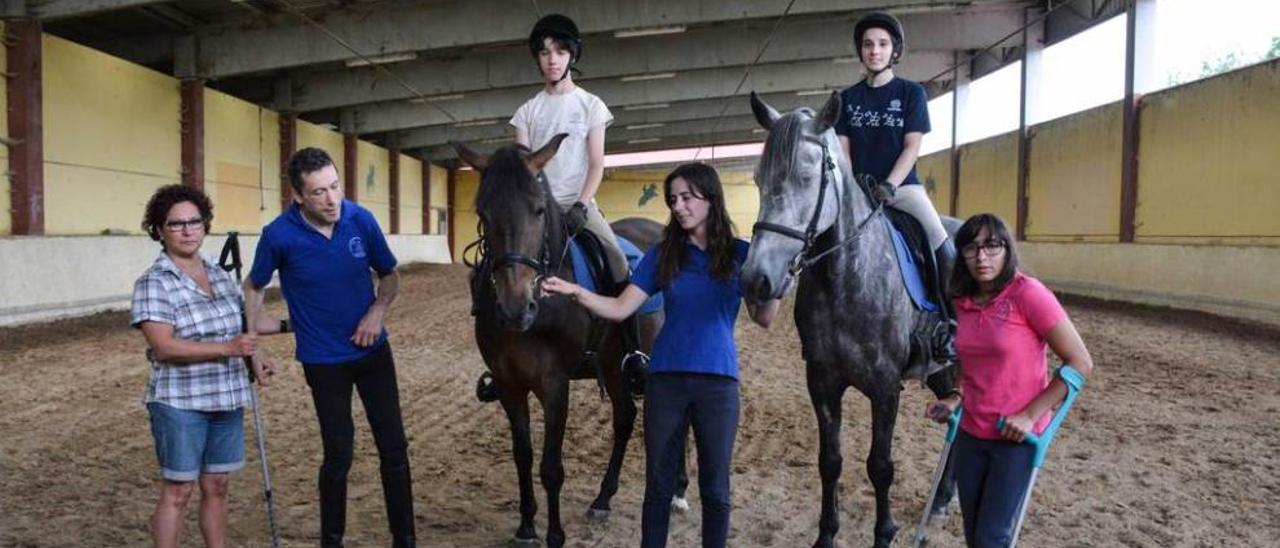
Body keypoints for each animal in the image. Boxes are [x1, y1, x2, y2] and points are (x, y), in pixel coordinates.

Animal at [455, 133, 665, 548]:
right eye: (483, 212)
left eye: (538, 210)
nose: (515, 309)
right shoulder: (509, 384)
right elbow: (522, 455)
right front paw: (526, 526)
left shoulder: (554, 384)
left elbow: (551, 466)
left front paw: (554, 534)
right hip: (613, 369)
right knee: (625, 418)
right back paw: (602, 499)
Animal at [742, 92, 962, 548]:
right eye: (757, 179)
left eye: (807, 177)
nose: (756, 279)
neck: (844, 279)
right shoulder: (822, 382)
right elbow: (830, 460)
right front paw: (826, 534)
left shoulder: (885, 388)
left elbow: (880, 466)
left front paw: (884, 533)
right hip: (938, 370)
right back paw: (942, 499)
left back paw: (944, 501)